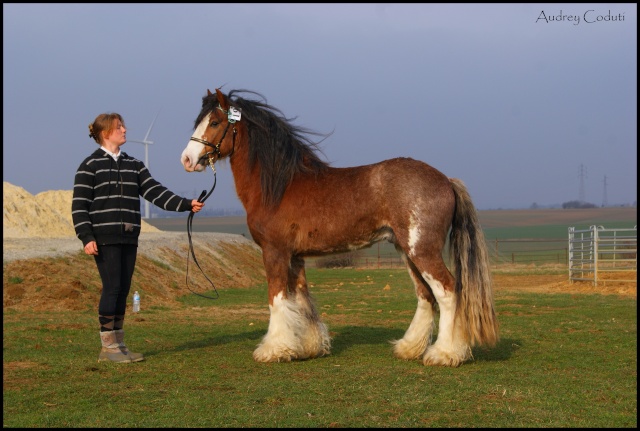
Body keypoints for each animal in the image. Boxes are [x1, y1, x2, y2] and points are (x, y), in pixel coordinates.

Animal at [180, 88, 500, 368]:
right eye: (198, 121)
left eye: (216, 122)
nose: (187, 159)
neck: (280, 185)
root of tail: (446, 180)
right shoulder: (296, 257)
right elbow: (301, 300)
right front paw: (308, 347)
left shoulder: (275, 252)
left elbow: (277, 299)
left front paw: (273, 349)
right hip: (406, 251)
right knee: (425, 295)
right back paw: (409, 348)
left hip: (423, 251)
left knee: (447, 292)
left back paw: (445, 354)